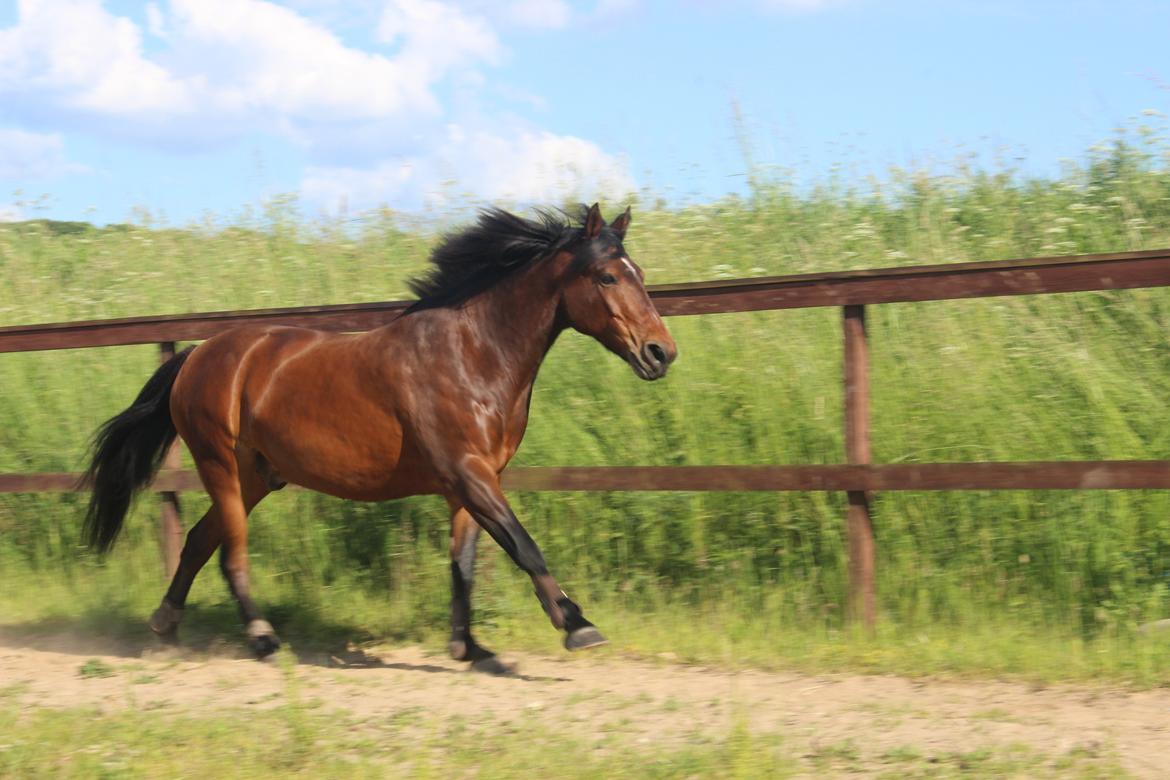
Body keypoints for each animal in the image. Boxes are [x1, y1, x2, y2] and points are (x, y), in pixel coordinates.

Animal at [80, 201, 678, 664]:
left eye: (642, 273)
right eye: (607, 276)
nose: (660, 353)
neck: (473, 354)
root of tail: (198, 354)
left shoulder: (470, 482)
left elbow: (464, 563)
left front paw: (469, 647)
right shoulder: (469, 472)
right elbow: (523, 546)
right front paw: (578, 625)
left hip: (256, 475)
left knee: (201, 541)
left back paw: (165, 625)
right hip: (219, 465)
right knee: (230, 552)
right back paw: (263, 638)